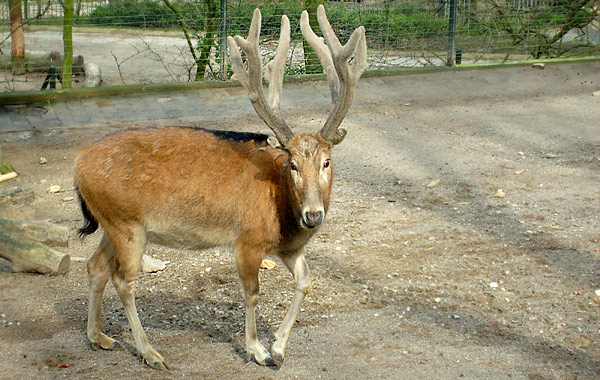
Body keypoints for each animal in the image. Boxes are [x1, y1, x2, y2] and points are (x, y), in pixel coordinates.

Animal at [73, 4, 368, 370]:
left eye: (326, 161)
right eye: (293, 164)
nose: (313, 215)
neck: (281, 209)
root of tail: (78, 164)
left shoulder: (289, 247)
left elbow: (305, 282)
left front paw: (279, 347)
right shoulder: (248, 240)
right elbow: (252, 293)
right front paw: (257, 350)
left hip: (110, 223)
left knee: (95, 266)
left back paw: (98, 337)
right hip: (126, 224)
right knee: (123, 280)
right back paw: (151, 353)